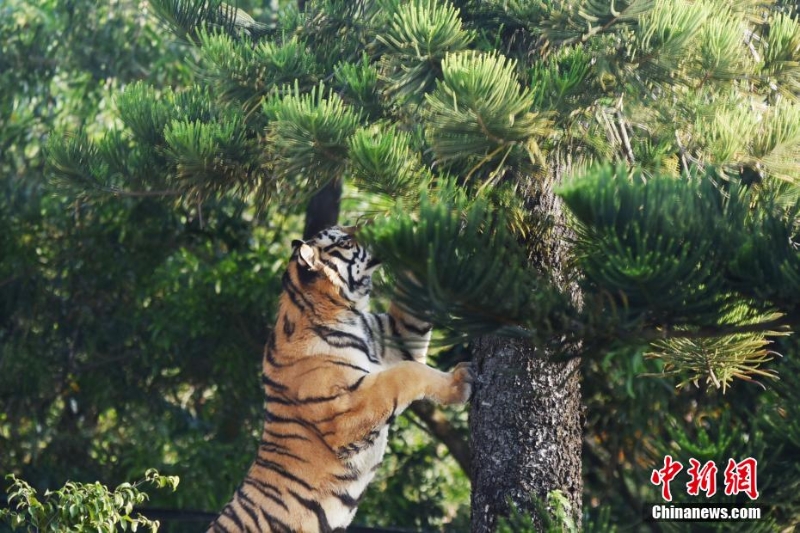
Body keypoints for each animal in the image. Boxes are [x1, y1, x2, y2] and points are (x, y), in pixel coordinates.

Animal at [206, 225, 478, 532]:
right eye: (346, 241)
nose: (374, 226)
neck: (347, 311)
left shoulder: (395, 335)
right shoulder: (345, 410)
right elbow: (406, 374)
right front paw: (461, 382)